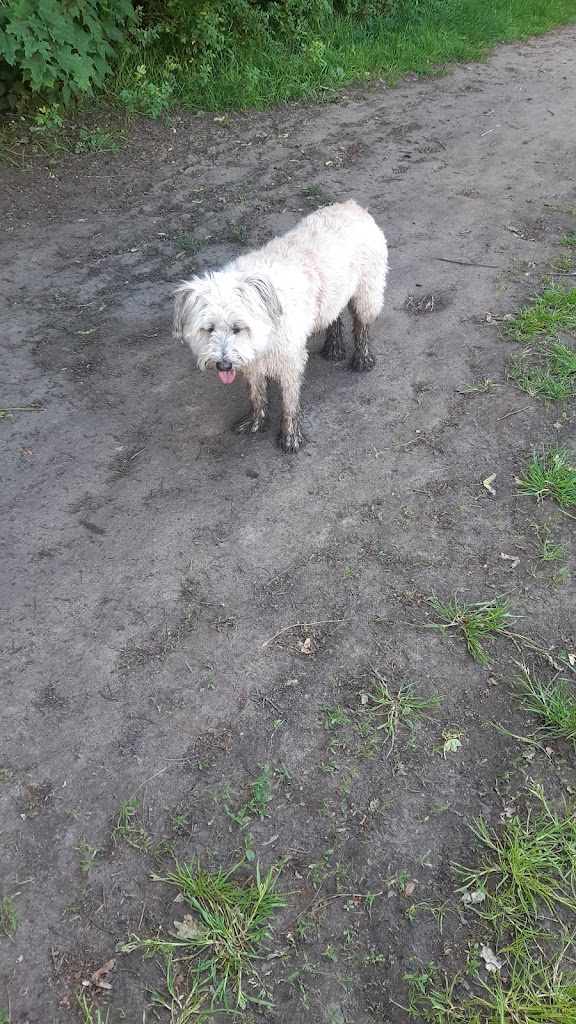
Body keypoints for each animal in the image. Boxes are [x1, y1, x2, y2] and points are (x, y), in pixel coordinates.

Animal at [173, 200, 388, 453]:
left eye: (237, 328)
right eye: (209, 329)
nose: (223, 365)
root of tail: (352, 205)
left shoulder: (290, 360)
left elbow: (290, 400)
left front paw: (291, 436)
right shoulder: (252, 360)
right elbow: (256, 392)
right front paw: (256, 422)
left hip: (367, 291)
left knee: (362, 325)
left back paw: (362, 358)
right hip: (334, 292)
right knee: (333, 316)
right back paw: (333, 347)